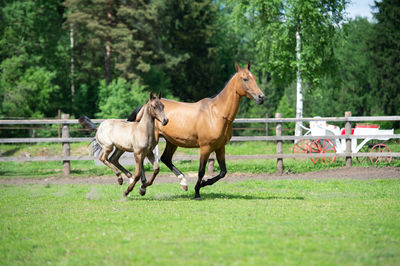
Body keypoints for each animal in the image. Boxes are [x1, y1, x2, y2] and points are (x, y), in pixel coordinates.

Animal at [129, 62, 266, 200]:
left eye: (254, 78)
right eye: (245, 79)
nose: (261, 97)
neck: (216, 114)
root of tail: (144, 107)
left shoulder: (220, 147)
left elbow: (223, 172)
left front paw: (204, 183)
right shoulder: (205, 147)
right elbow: (201, 171)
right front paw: (197, 192)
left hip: (172, 142)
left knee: (165, 158)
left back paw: (181, 182)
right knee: (142, 157)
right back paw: (143, 186)